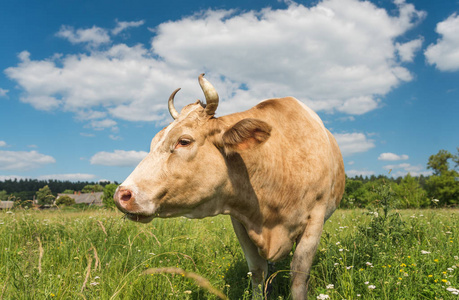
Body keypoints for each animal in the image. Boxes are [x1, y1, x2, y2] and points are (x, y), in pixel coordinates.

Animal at [114, 74, 344, 298]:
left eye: (184, 141)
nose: (122, 195)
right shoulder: (240, 222)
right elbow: (258, 272)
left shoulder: (316, 219)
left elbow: (298, 276)